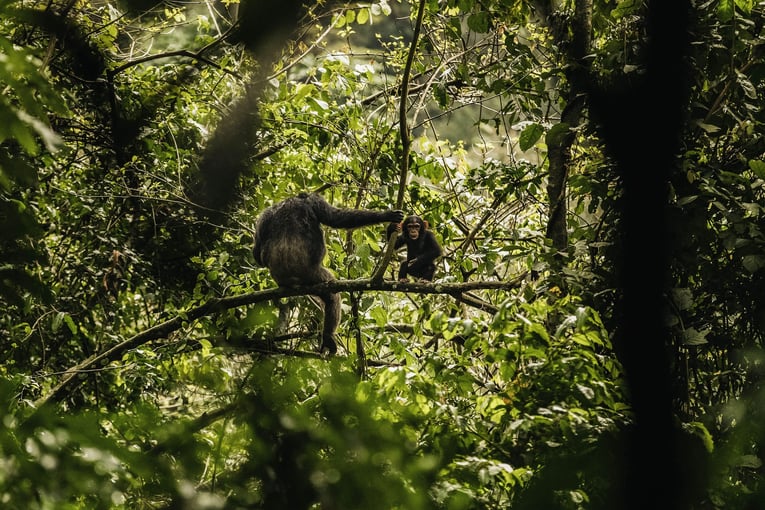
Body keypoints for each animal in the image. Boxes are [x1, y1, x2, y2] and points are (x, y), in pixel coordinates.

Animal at [252, 192, 406, 354]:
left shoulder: (263, 216)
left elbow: (256, 249)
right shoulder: (315, 200)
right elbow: (336, 217)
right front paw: (387, 215)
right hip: (314, 274)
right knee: (333, 297)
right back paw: (328, 337)